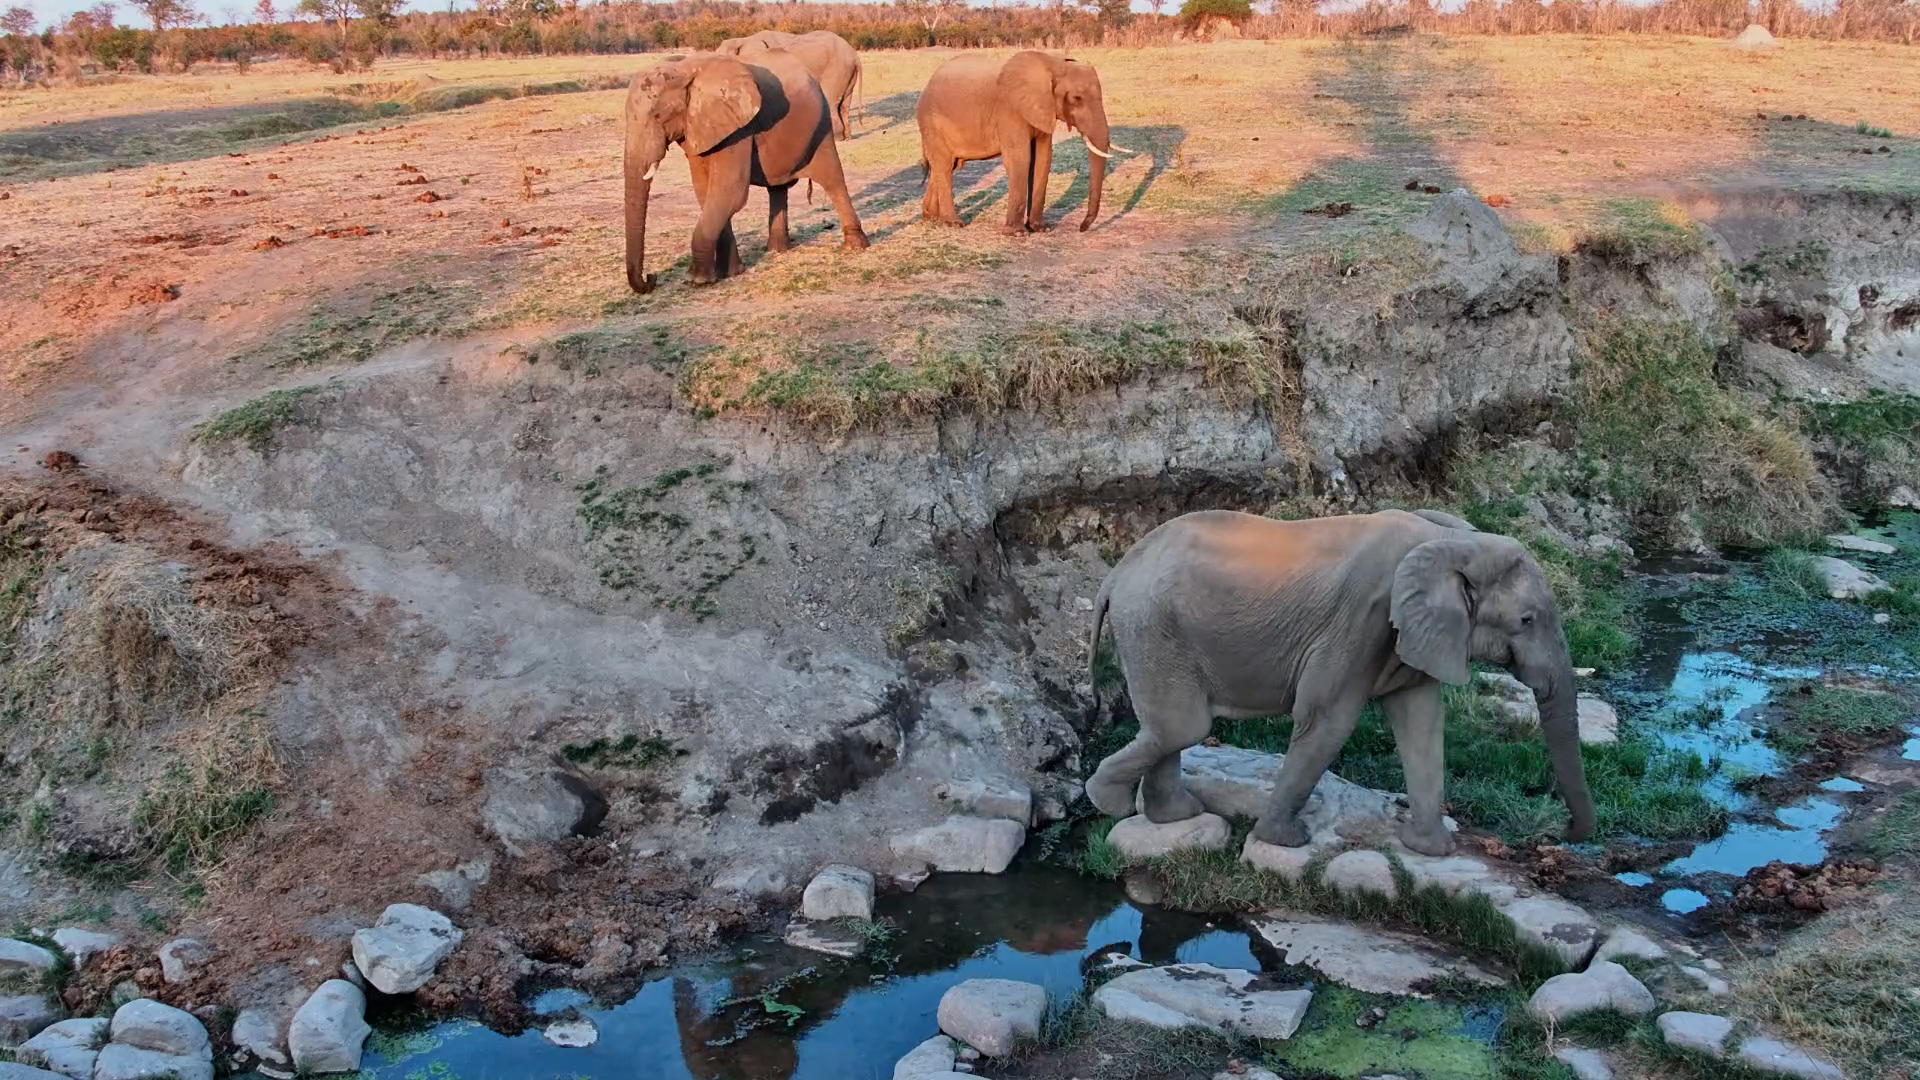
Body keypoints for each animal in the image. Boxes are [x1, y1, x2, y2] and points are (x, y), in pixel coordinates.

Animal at [623, 50, 868, 294]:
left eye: (658, 116)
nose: (651, 277)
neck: (685, 68)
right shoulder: (699, 128)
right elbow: (705, 192)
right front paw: (731, 273)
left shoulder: (738, 130)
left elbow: (730, 191)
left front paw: (697, 279)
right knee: (777, 188)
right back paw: (777, 250)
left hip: (820, 123)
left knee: (832, 179)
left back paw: (855, 246)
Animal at [715, 30, 861, 140]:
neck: (743, 40)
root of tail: (854, 55)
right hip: (847, 72)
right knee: (845, 105)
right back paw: (847, 137)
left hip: (836, 70)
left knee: (832, 101)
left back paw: (837, 138)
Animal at [915, 50, 1130, 234]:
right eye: (1077, 98)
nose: (1081, 228)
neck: (1053, 64)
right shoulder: (1011, 111)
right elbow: (1020, 158)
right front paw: (1016, 233)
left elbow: (1043, 159)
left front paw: (1040, 228)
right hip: (931, 121)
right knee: (943, 166)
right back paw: (953, 223)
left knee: (944, 167)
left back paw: (932, 218)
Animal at [1083, 508, 1594, 858]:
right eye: (1527, 620)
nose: (1563, 834)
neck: (1452, 541)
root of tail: (1114, 573)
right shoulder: (1362, 620)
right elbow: (1329, 719)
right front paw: (1286, 841)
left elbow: (1422, 722)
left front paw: (1430, 850)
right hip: (1153, 628)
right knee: (1183, 727)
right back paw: (1108, 801)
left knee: (1170, 729)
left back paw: (1173, 814)